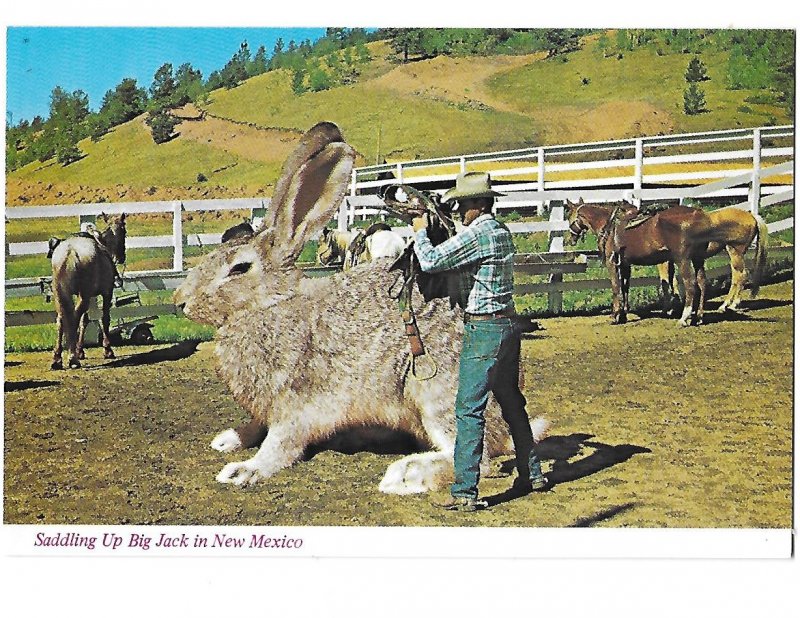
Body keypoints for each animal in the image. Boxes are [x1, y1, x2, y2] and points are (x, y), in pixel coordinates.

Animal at [49, 213, 126, 366]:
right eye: (124, 232)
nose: (121, 258)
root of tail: (71, 252)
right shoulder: (107, 292)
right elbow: (104, 318)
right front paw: (108, 350)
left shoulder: (89, 296)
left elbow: (84, 320)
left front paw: (81, 351)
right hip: (84, 295)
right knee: (73, 317)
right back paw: (72, 358)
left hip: (61, 295)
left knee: (61, 319)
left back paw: (57, 358)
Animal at [564, 202, 712, 328]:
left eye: (569, 217)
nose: (568, 240)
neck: (608, 225)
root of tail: (697, 214)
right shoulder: (624, 264)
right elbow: (625, 287)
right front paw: (623, 315)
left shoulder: (612, 263)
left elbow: (615, 287)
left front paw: (615, 315)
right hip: (698, 258)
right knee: (702, 282)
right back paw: (698, 317)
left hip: (682, 260)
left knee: (690, 285)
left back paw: (684, 318)